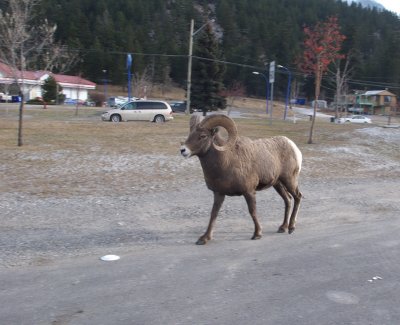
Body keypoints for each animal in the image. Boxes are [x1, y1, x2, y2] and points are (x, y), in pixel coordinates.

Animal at [180, 114, 302, 243]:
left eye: (203, 136)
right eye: (190, 133)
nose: (183, 150)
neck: (226, 161)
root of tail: (293, 146)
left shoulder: (249, 192)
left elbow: (252, 212)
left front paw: (257, 234)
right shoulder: (219, 194)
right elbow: (213, 214)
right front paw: (204, 238)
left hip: (289, 180)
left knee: (297, 197)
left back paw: (291, 228)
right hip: (278, 184)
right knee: (288, 200)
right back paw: (282, 227)